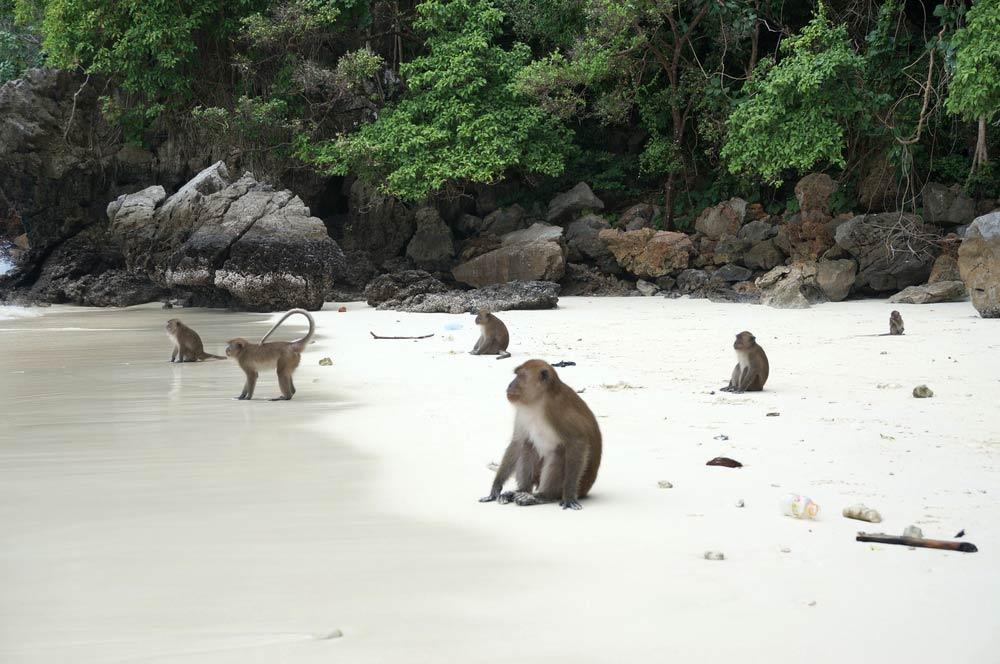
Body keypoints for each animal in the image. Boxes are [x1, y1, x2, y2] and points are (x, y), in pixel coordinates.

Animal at [480, 360, 602, 510]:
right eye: (517, 374)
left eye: (521, 376)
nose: (509, 385)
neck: (538, 402)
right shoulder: (522, 411)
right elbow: (517, 442)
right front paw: (496, 487)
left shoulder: (559, 410)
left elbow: (578, 442)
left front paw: (568, 496)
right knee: (527, 446)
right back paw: (521, 491)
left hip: (574, 487)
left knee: (558, 453)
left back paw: (543, 496)